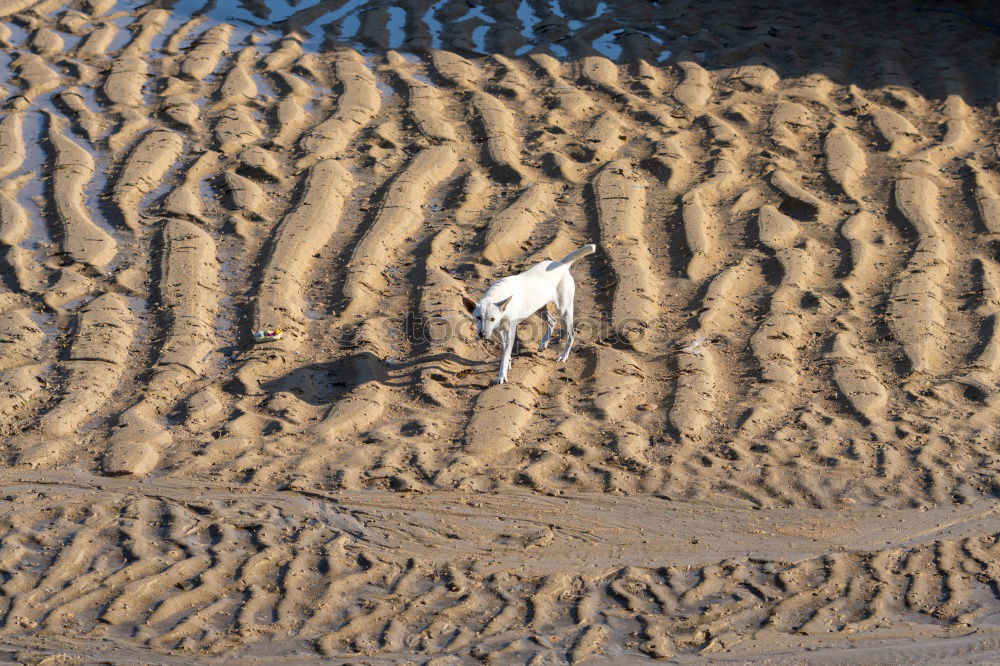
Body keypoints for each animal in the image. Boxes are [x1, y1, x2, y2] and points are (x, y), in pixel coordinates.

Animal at [466, 244, 596, 382]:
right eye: (478, 317)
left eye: (492, 319)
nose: (483, 335)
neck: (496, 296)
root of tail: (561, 264)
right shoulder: (497, 331)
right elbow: (505, 349)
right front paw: (508, 363)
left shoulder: (509, 331)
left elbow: (505, 353)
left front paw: (502, 375)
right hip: (538, 309)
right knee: (552, 321)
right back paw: (544, 343)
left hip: (564, 310)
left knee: (571, 334)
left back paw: (563, 356)